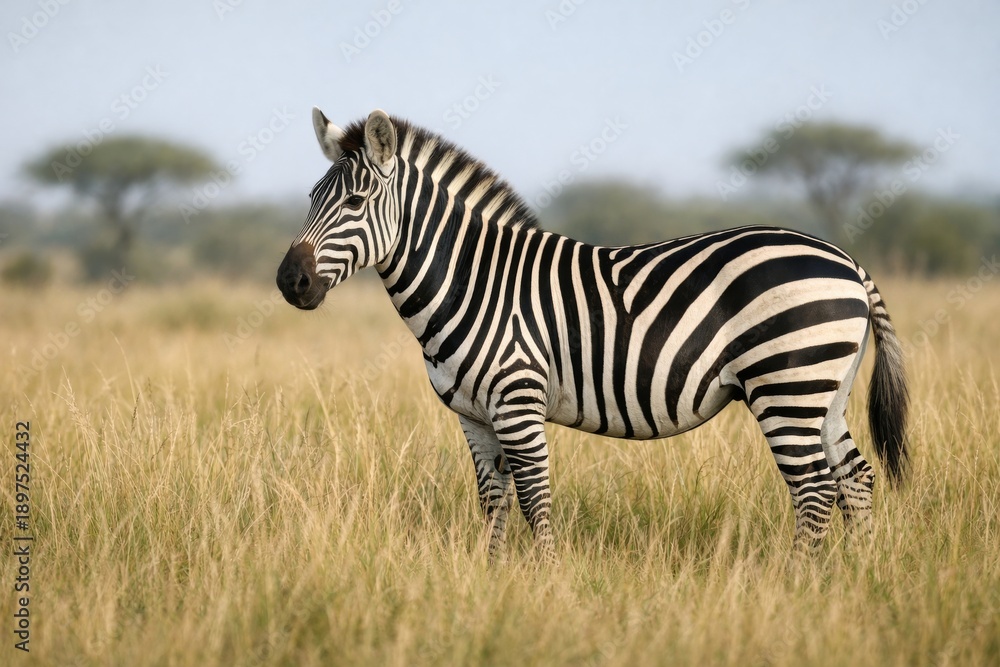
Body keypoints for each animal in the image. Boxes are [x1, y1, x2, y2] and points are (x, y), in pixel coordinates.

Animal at [276, 108, 909, 558]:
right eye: (310, 198)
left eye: (356, 201)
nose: (290, 281)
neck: (475, 281)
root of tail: (846, 260)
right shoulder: (472, 416)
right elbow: (493, 502)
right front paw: (491, 579)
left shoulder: (518, 402)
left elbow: (535, 499)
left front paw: (545, 583)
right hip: (824, 390)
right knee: (855, 479)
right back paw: (857, 576)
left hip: (787, 385)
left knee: (815, 491)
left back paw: (798, 580)